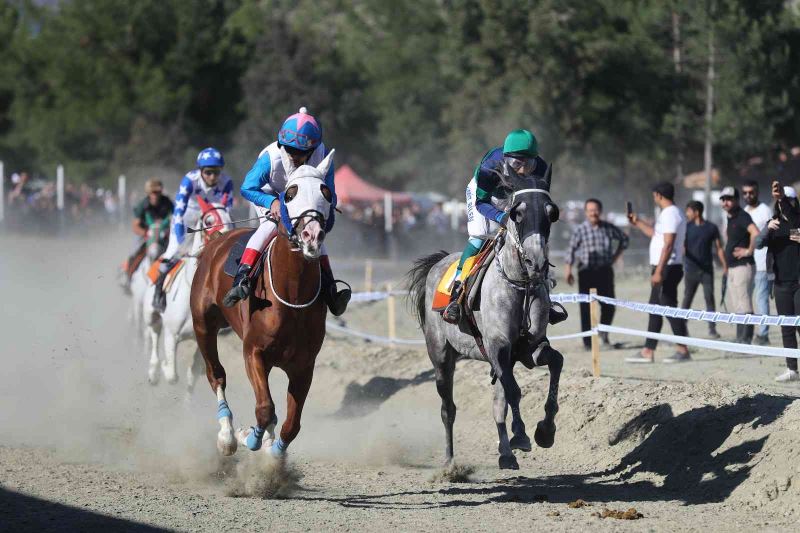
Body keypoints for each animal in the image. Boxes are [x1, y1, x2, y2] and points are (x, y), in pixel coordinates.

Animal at [144, 200, 233, 386]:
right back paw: (154, 370)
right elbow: (172, 375)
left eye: (231, 217)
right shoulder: (171, 335)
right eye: (208, 221)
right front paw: (164, 366)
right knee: (153, 333)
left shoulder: (205, 338)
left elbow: (193, 374)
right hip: (150, 314)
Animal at [191, 151, 334, 458]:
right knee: (215, 374)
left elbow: (291, 424)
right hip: (203, 325)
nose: (312, 235)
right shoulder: (253, 352)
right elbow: (265, 408)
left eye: (326, 192)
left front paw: (275, 454)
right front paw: (249, 437)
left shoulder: (304, 364)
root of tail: (218, 240)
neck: (293, 297)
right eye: (290, 193)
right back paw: (227, 435)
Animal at [406, 177, 564, 468]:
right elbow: (513, 392)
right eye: (517, 213)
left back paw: (505, 453)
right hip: (441, 356)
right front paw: (521, 435)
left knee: (497, 404)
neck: (519, 285)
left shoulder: (528, 349)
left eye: (551, 213)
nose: (536, 262)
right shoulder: (497, 347)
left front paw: (545, 431)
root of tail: (437, 263)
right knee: (448, 408)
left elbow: (555, 363)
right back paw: (450, 461)